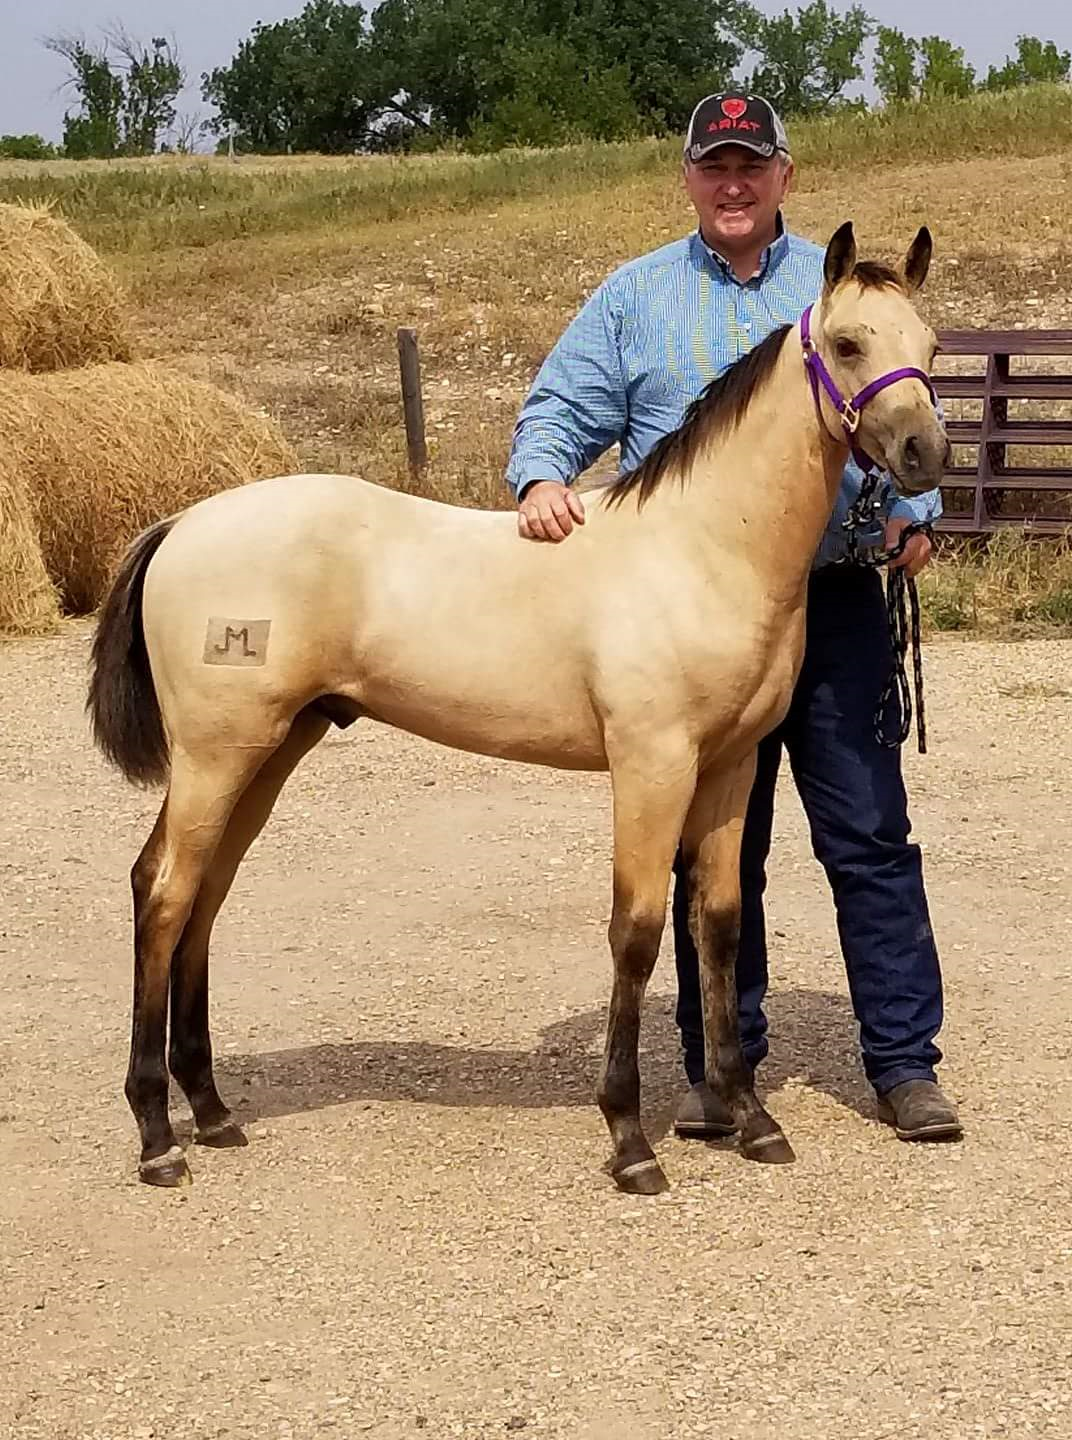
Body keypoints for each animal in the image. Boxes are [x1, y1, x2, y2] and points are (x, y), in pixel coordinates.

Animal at [87, 221, 949, 1192]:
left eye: (930, 346)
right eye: (847, 343)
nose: (924, 454)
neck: (703, 547)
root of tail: (181, 525)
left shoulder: (731, 767)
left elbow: (721, 928)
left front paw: (750, 1117)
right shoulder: (651, 767)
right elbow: (638, 931)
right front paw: (630, 1140)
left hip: (269, 751)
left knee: (203, 895)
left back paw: (210, 1111)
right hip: (217, 753)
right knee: (164, 894)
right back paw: (157, 1137)